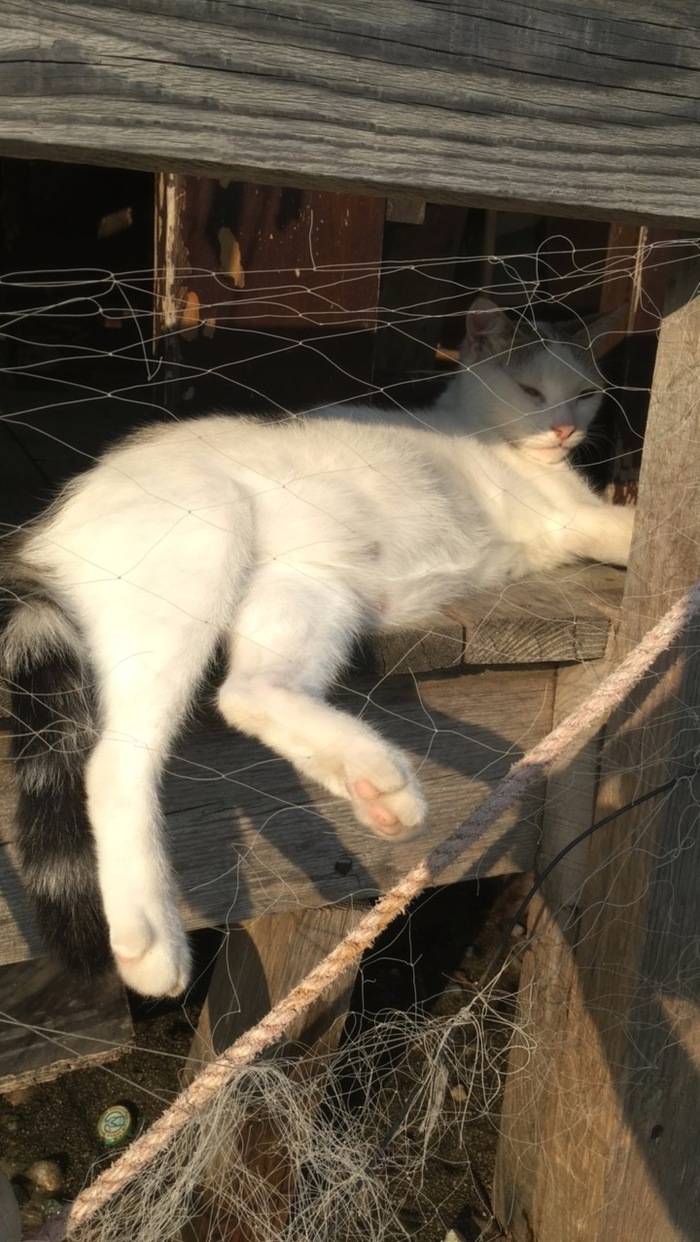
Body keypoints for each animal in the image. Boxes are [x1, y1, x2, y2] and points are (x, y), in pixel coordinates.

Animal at [1, 298, 635, 998]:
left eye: (584, 393)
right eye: (529, 390)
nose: (561, 429)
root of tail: (43, 527)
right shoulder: (573, 517)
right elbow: (621, 529)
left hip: (308, 585)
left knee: (247, 694)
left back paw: (373, 782)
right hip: (202, 547)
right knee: (118, 760)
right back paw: (151, 938)